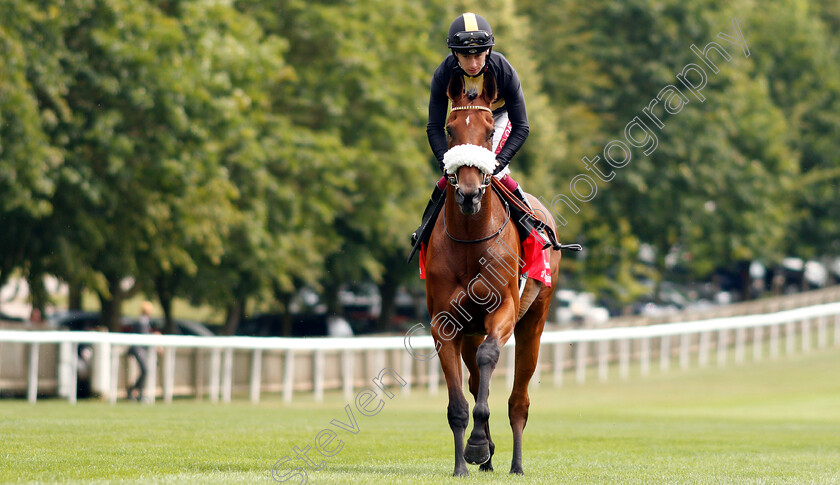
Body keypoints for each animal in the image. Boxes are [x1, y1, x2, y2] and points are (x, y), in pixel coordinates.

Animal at [430, 73, 560, 476]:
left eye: (489, 132)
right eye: (450, 129)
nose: (470, 194)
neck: (471, 239)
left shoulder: (503, 308)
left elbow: (490, 357)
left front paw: (476, 445)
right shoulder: (444, 321)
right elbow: (459, 401)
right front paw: (466, 459)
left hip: (534, 319)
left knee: (519, 399)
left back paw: (516, 464)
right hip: (470, 330)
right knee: (475, 381)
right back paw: (485, 456)